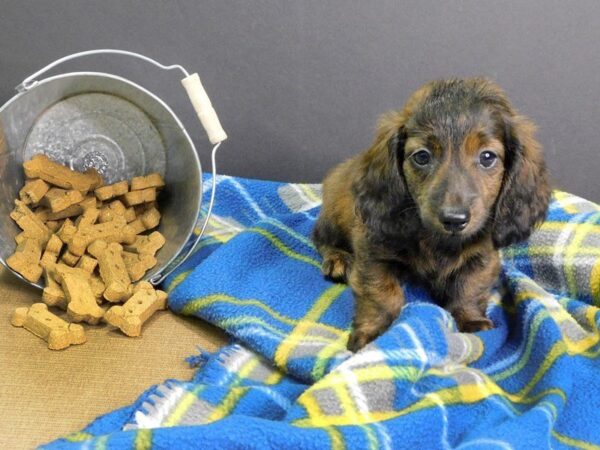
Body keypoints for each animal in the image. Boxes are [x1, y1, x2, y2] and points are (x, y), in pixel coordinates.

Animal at [314, 77, 552, 352]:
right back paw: (337, 259)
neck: (438, 240)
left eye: (487, 157)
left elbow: (469, 288)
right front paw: (372, 334)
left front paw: (472, 321)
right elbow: (381, 294)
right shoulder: (372, 251)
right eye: (422, 156)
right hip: (332, 219)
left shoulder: (483, 256)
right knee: (319, 238)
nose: (454, 219)